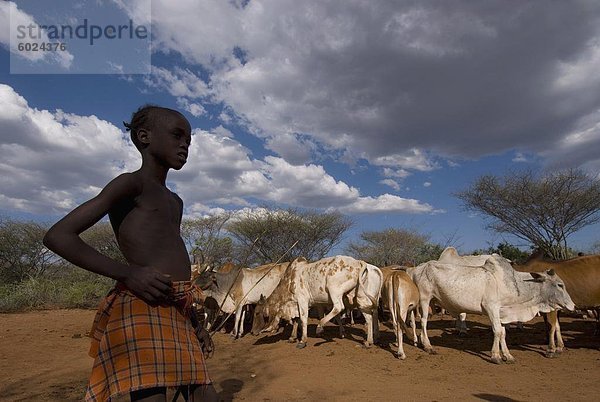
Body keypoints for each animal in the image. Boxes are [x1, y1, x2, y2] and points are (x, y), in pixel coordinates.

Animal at [251, 258, 382, 348]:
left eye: (257, 312)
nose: (252, 332)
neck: (290, 281)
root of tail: (358, 262)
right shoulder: (300, 304)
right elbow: (296, 320)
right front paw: (293, 337)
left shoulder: (302, 300)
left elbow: (303, 319)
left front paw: (302, 340)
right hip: (361, 299)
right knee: (369, 318)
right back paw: (368, 341)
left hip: (334, 289)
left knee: (339, 307)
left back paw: (320, 327)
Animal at [410, 258, 576, 364]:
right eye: (560, 285)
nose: (573, 306)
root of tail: (418, 268)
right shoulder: (491, 308)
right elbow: (497, 331)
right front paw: (495, 356)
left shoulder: (502, 313)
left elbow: (503, 333)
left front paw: (508, 355)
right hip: (425, 299)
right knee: (423, 322)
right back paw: (428, 346)